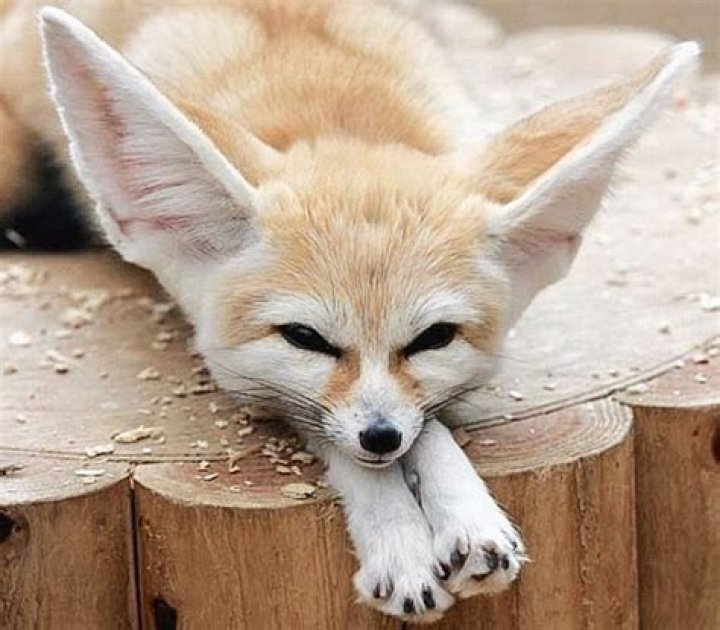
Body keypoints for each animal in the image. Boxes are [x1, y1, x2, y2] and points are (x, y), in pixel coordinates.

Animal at [0, 0, 699, 622]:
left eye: (434, 338)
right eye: (305, 338)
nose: (379, 436)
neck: (334, 100)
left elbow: (430, 426)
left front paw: (466, 514)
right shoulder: (247, 381)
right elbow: (323, 426)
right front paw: (399, 543)